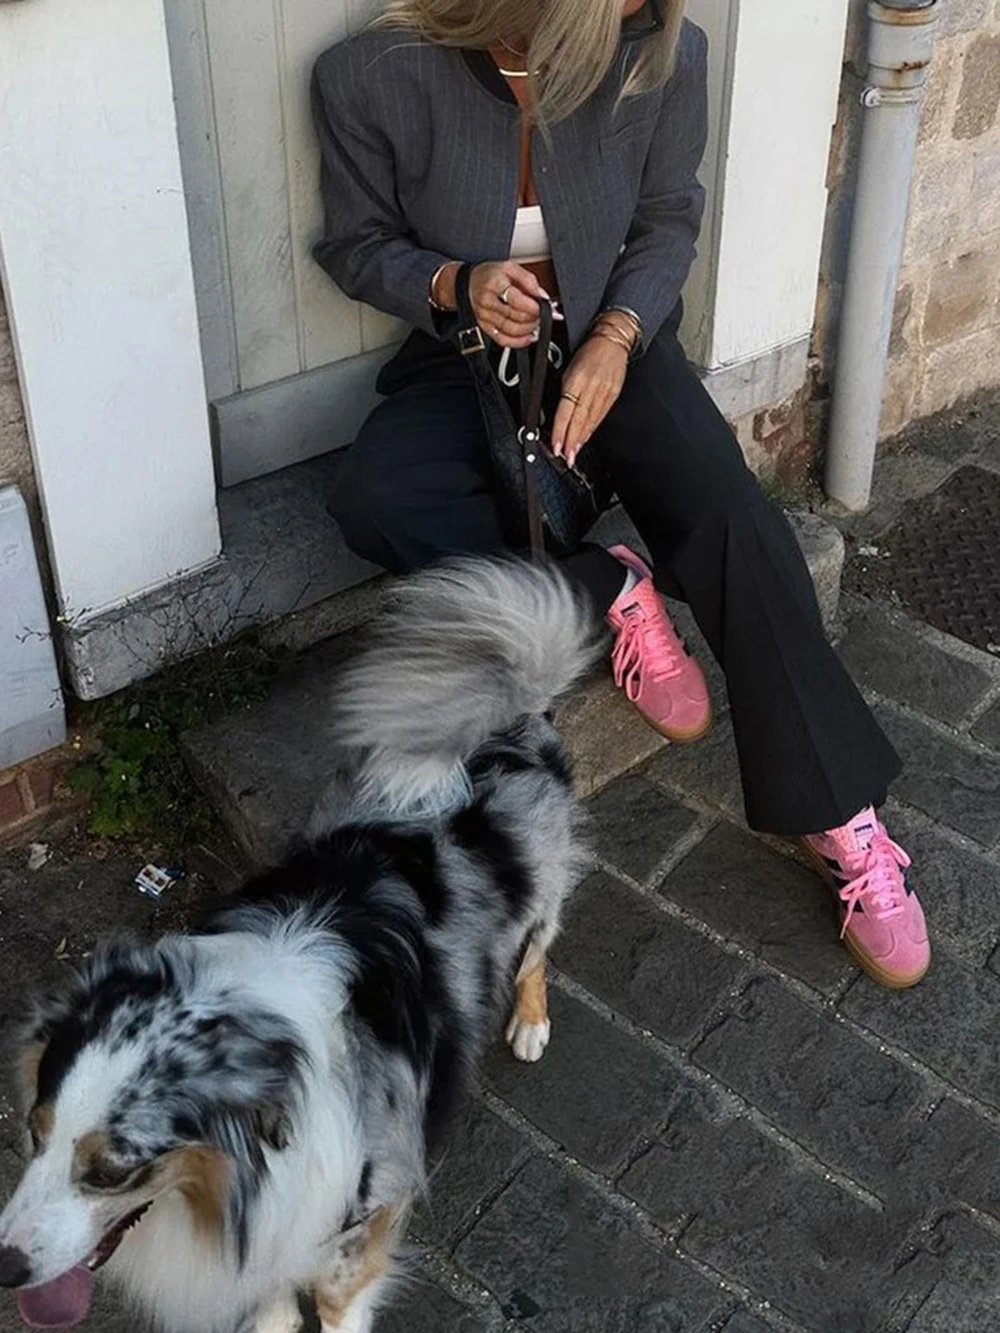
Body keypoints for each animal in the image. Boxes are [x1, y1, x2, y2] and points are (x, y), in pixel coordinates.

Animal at [0, 557, 598, 1333]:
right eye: (35, 1131)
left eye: (112, 1169)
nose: (4, 1267)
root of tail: (508, 720)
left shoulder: (356, 1222)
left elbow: (337, 1300)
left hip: (538, 894)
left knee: (535, 949)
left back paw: (529, 1021)